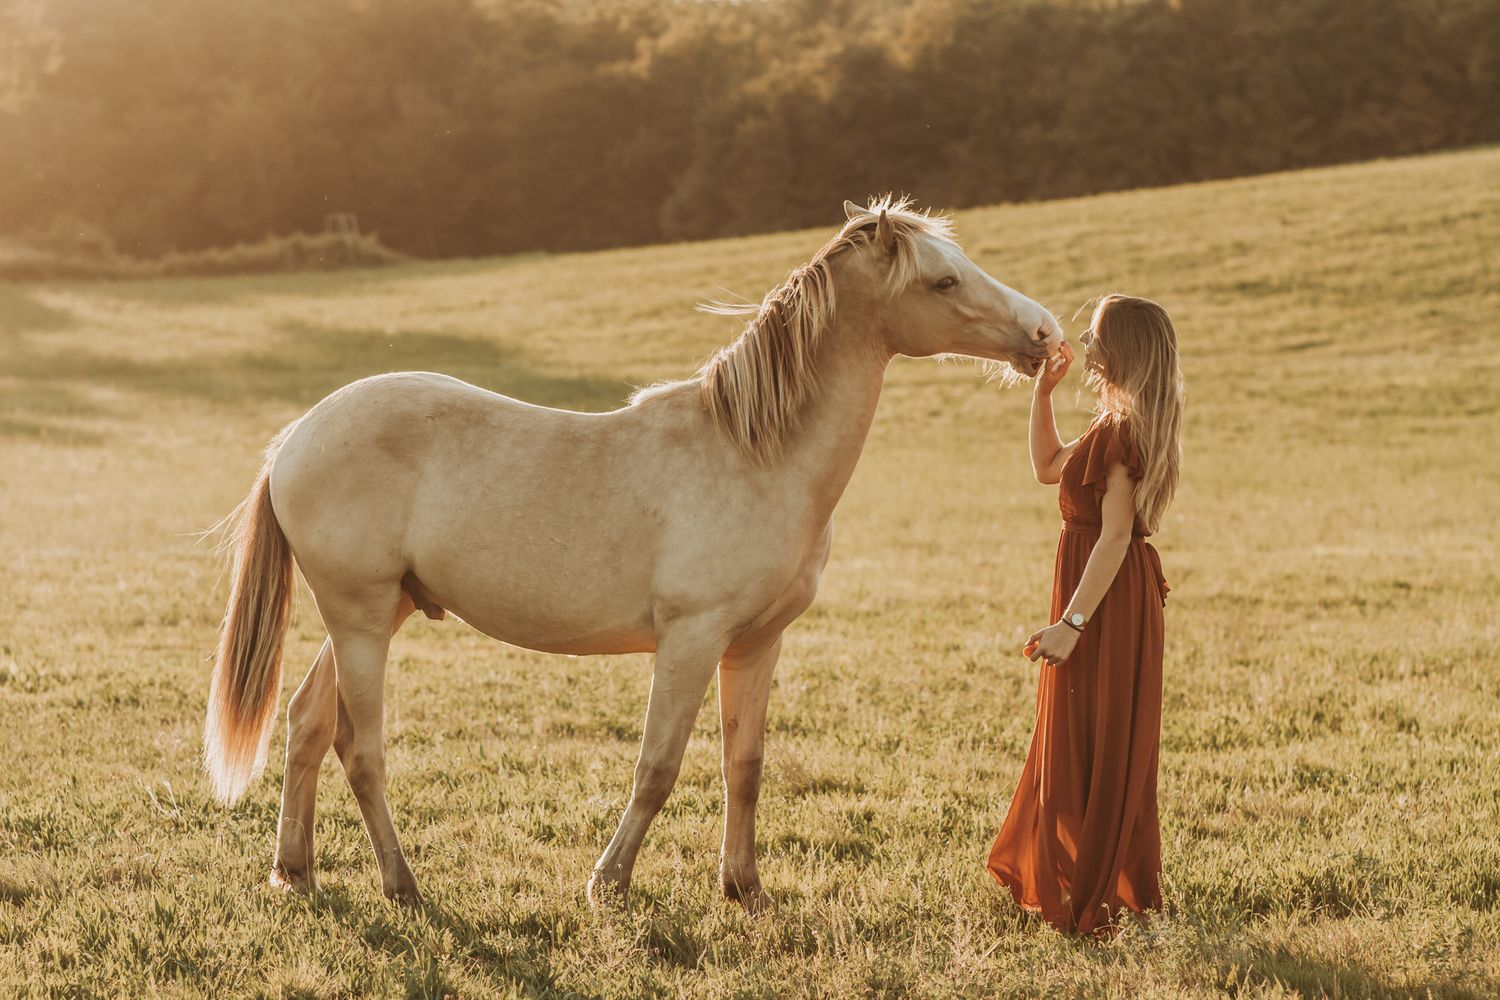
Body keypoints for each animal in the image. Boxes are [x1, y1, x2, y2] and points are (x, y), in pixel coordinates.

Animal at [204, 195, 1063, 913]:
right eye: (944, 280)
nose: (1045, 334)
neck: (754, 454)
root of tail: (297, 435)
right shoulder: (690, 640)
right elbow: (658, 766)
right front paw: (608, 885)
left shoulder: (756, 645)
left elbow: (743, 766)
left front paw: (744, 887)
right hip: (361, 620)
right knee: (361, 749)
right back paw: (403, 887)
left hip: (381, 614)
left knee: (307, 723)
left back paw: (295, 871)